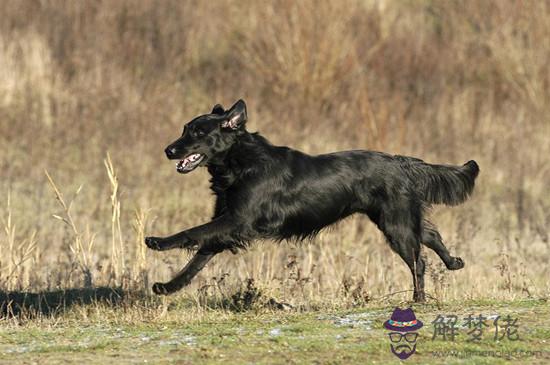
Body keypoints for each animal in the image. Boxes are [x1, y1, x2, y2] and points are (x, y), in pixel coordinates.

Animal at [147, 99, 478, 302]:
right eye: (185, 129)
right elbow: (198, 258)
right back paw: (454, 263)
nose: (167, 150)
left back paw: (418, 299)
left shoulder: (237, 220)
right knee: (431, 235)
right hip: (396, 218)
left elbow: (192, 233)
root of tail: (402, 161)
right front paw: (168, 287)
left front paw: (158, 242)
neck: (240, 162)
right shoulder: (227, 223)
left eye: (198, 132)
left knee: (418, 260)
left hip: (396, 225)